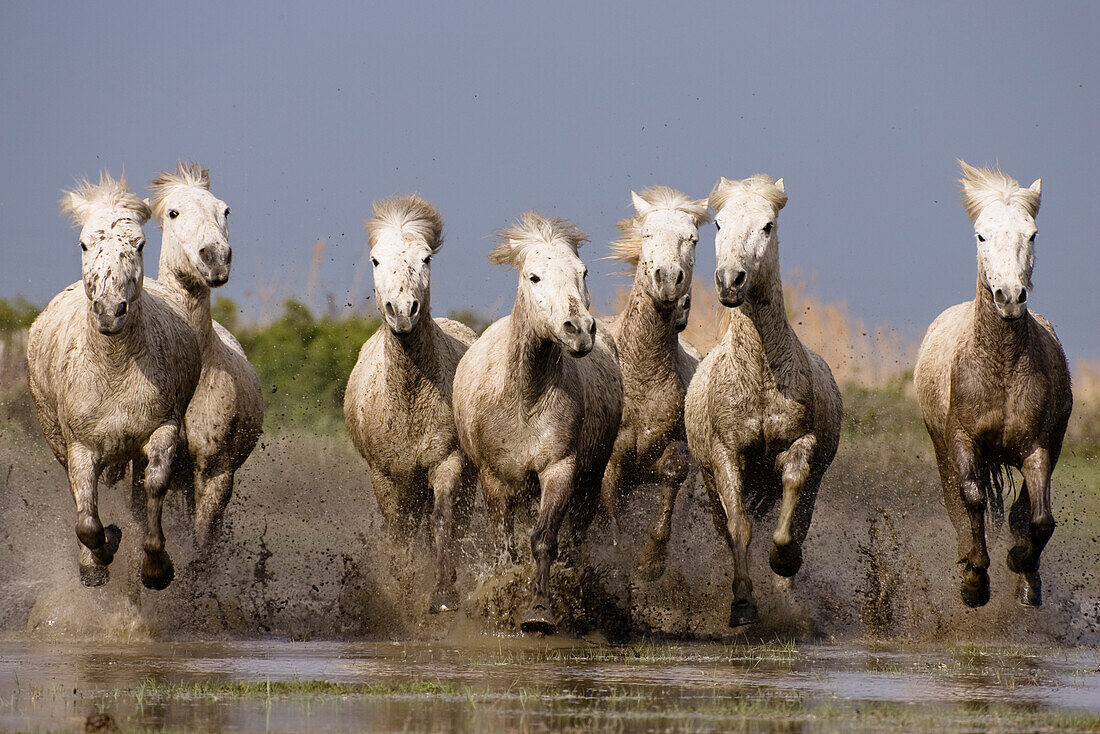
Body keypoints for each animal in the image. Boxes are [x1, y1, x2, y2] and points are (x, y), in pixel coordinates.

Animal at [26, 173, 201, 589]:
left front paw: (156, 567)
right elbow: (87, 520)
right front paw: (99, 557)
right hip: (57, 439)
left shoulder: (163, 429)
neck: (113, 369)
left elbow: (155, 487)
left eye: (139, 244)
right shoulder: (81, 448)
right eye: (84, 243)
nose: (109, 310)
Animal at [345, 194, 479, 616]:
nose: (403, 310)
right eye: (375, 260)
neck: (409, 398)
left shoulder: (447, 462)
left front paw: (443, 595)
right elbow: (399, 536)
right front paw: (402, 594)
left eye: (426, 258)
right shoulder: (387, 476)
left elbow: (443, 521)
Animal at [446, 211, 620, 633]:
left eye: (583, 271)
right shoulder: (495, 478)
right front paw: (501, 599)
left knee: (576, 536)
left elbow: (544, 539)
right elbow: (504, 547)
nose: (579, 329)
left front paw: (539, 611)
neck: (525, 399)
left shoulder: (559, 468)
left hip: (589, 479)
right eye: (534, 277)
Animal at [686, 173, 840, 625]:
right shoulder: (726, 454)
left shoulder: (799, 443)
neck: (758, 377)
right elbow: (739, 527)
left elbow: (791, 503)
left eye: (768, 226)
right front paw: (742, 605)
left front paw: (784, 561)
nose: (730, 280)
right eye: (718, 225)